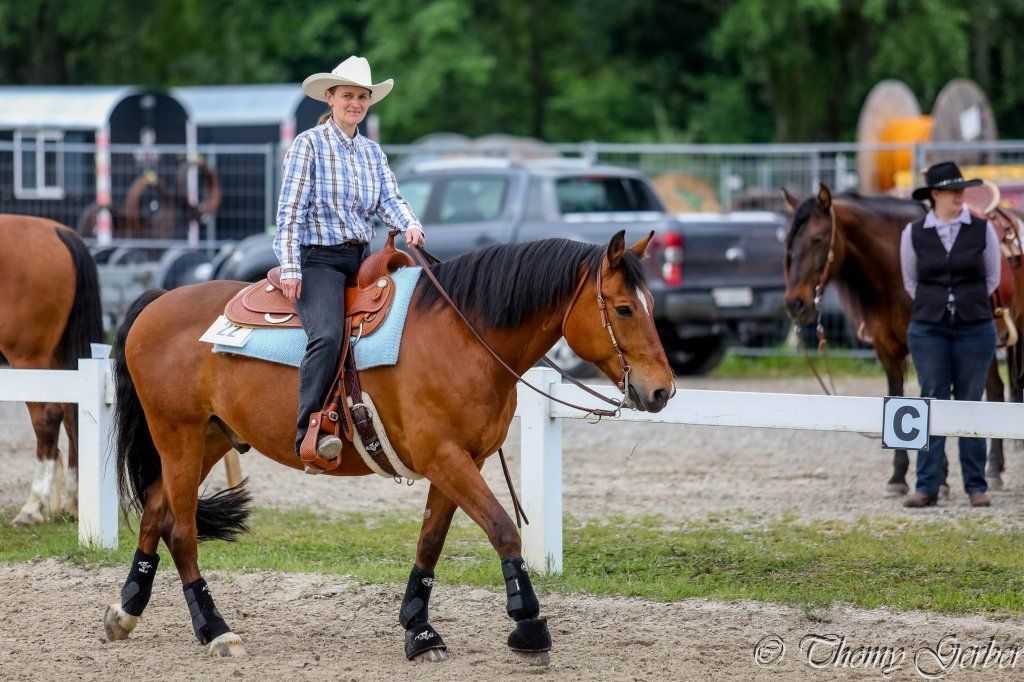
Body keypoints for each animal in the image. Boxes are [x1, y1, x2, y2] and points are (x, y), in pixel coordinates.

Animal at [0, 214, 104, 525]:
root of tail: (57, 231)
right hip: (59, 356)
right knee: (71, 413)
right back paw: (73, 501)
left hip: (29, 358)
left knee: (48, 417)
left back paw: (33, 505)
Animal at [103, 232, 675, 662]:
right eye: (624, 308)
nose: (662, 391)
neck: (464, 338)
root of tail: (157, 300)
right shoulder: (445, 457)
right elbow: (502, 529)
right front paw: (529, 627)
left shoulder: (458, 460)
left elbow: (430, 542)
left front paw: (419, 630)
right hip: (177, 435)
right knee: (181, 531)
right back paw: (216, 629)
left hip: (206, 439)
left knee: (155, 513)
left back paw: (125, 612)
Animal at [781, 185, 1018, 494]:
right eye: (788, 241)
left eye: (818, 238)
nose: (795, 304)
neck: (894, 269)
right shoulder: (887, 350)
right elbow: (897, 395)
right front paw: (898, 476)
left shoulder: (928, 348)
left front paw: (940, 478)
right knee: (994, 389)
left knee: (994, 391)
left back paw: (994, 470)